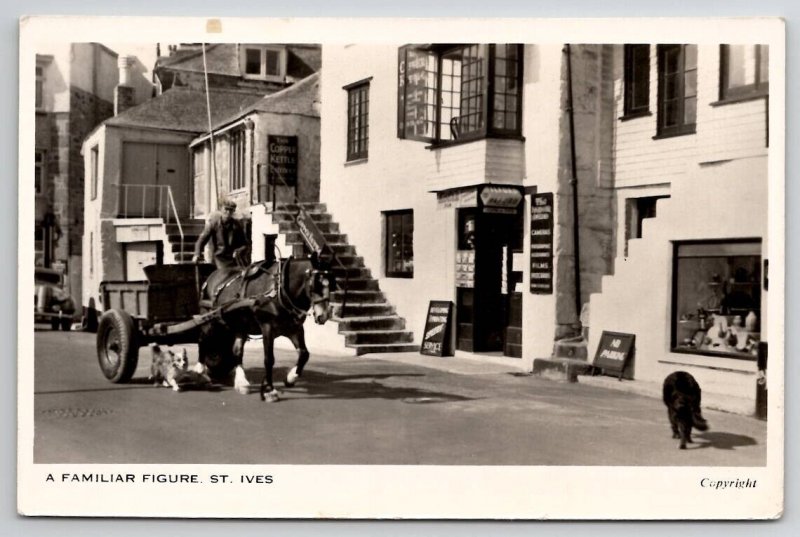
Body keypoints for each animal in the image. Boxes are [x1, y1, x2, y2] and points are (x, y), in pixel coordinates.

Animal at [200, 254, 338, 402]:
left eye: (331, 283)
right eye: (315, 284)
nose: (323, 315)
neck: (279, 291)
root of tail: (212, 275)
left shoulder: (295, 328)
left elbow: (304, 354)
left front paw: (290, 378)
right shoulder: (267, 327)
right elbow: (269, 359)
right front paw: (268, 390)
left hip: (240, 325)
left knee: (237, 351)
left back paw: (241, 382)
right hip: (209, 319)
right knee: (203, 340)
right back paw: (200, 372)